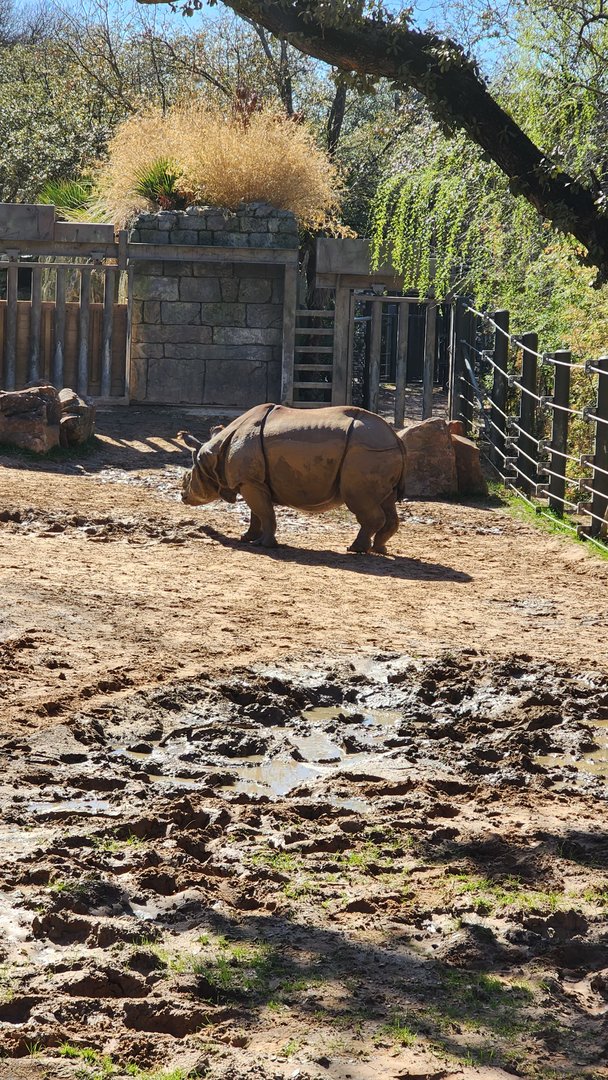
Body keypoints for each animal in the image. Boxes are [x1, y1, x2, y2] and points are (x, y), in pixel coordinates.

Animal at [180, 402, 406, 553]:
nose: (183, 497)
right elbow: (257, 513)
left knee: (359, 499)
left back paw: (355, 549)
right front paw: (247, 538)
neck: (213, 457)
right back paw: (379, 549)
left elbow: (265, 513)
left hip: (365, 452)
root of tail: (395, 437)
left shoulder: (249, 482)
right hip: (377, 451)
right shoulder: (254, 482)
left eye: (188, 477)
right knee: (386, 501)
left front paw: (264, 545)